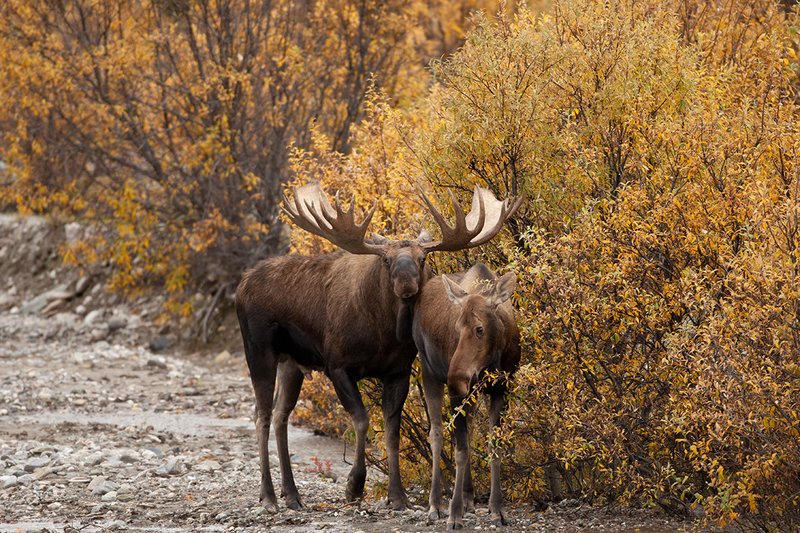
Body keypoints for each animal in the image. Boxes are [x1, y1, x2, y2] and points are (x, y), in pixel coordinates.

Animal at [413, 262, 521, 530]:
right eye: (457, 328)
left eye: (479, 328)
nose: (455, 377)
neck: (494, 360)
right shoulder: (458, 393)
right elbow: (460, 451)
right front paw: (454, 513)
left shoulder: (502, 389)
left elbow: (493, 446)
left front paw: (497, 509)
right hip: (429, 371)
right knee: (436, 433)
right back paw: (435, 505)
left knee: (467, 432)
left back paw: (469, 497)